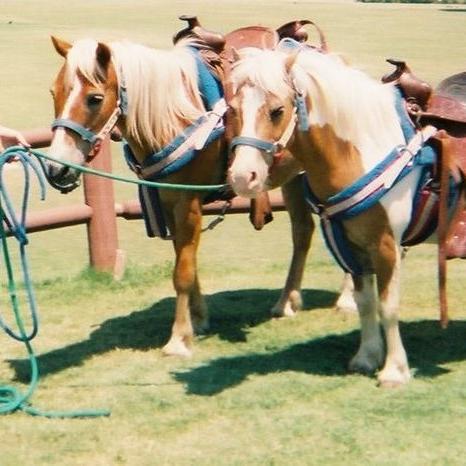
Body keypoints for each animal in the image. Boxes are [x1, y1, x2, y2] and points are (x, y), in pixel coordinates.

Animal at [43, 35, 330, 356]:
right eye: (54, 92)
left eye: (94, 98)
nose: (56, 169)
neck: (174, 119)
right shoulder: (168, 202)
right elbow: (186, 260)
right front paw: (199, 318)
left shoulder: (187, 203)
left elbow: (182, 272)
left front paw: (179, 338)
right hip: (293, 178)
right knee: (302, 231)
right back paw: (286, 302)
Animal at [228, 44, 466, 386]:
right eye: (231, 110)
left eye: (277, 110)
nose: (241, 177)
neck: (366, 148)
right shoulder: (352, 245)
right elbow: (365, 302)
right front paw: (366, 357)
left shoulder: (385, 245)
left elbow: (388, 305)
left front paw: (394, 371)